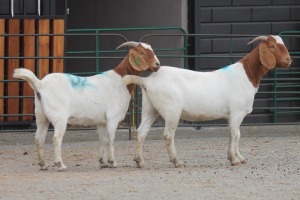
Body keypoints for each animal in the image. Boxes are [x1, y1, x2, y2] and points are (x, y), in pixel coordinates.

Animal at [13, 41, 161, 170]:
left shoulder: (101, 121)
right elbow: (111, 139)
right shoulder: (112, 118)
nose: (157, 64)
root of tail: (40, 84)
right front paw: (112, 162)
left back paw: (43, 165)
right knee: (56, 138)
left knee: (39, 138)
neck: (120, 81)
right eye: (141, 52)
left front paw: (103, 162)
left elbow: (103, 140)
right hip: (59, 118)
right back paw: (60, 164)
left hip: (41, 117)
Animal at [122, 35, 290, 167]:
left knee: (141, 132)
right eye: (272, 46)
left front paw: (236, 157)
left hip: (150, 109)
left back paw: (139, 161)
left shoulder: (231, 115)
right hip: (171, 111)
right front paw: (236, 159)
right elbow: (236, 134)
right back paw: (177, 161)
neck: (246, 75)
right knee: (168, 134)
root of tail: (148, 81)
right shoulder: (237, 112)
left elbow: (232, 134)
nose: (289, 60)